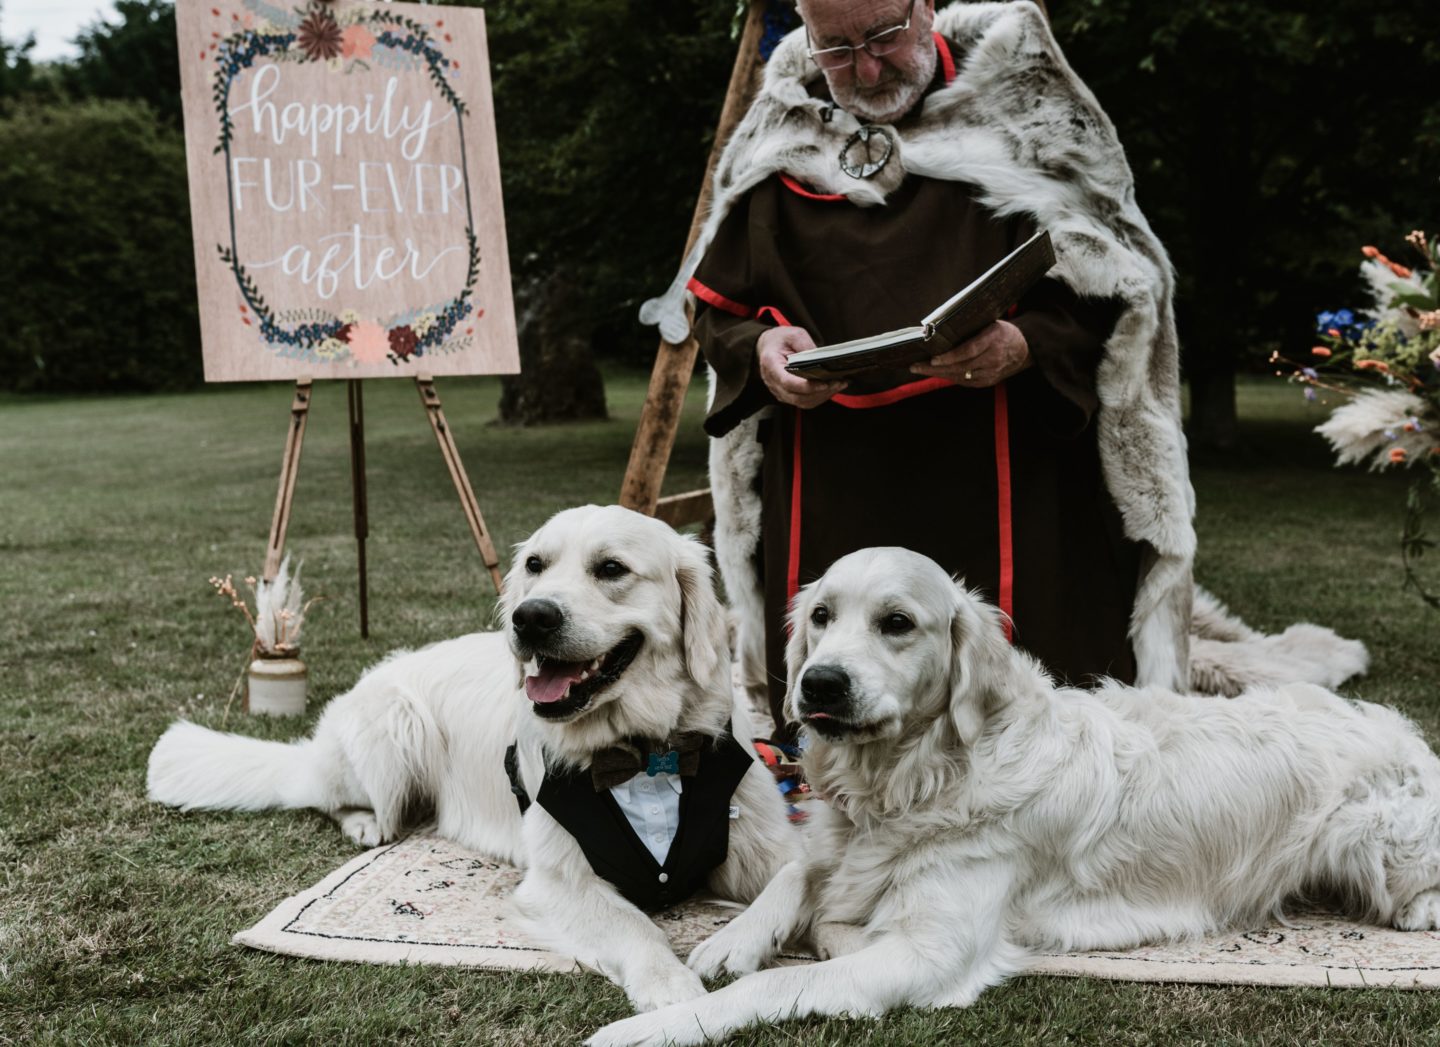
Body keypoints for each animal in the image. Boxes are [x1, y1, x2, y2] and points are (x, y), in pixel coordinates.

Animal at [149, 504, 789, 1013]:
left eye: (611, 569)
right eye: (535, 565)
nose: (530, 617)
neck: (646, 752)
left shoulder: (761, 843)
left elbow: (793, 880)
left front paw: (735, 942)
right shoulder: (559, 880)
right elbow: (632, 926)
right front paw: (673, 989)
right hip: (394, 723)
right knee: (330, 795)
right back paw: (366, 824)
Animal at [590, 550, 1440, 1047]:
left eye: (897, 622)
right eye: (822, 616)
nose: (820, 684)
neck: (916, 780)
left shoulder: (930, 949)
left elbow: (783, 977)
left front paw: (660, 1023)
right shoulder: (843, 846)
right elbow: (803, 873)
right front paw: (735, 938)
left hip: (1380, 845)